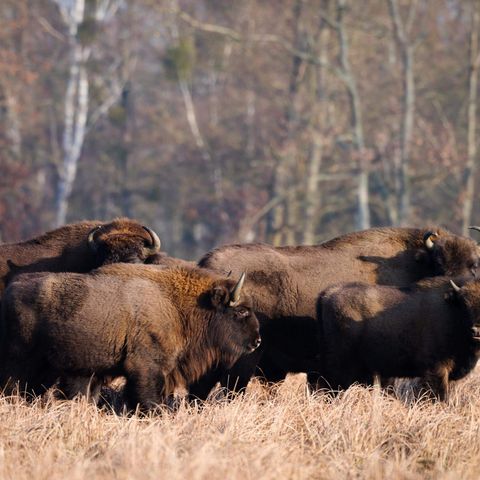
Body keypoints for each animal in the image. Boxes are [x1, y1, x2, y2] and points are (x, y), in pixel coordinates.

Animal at [0, 262, 260, 408]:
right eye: (241, 311)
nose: (257, 340)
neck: (176, 305)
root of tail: (9, 291)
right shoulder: (147, 369)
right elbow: (149, 399)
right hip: (22, 363)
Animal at [318, 276, 480, 400]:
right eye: (465, 304)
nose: (477, 331)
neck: (451, 309)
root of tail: (328, 293)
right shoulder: (437, 369)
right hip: (342, 365)